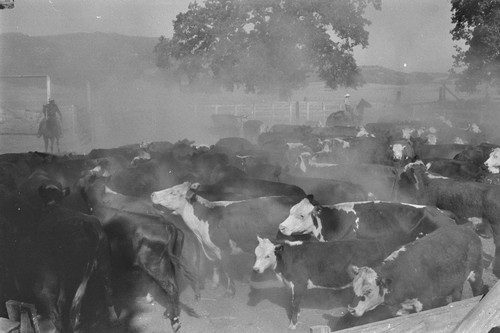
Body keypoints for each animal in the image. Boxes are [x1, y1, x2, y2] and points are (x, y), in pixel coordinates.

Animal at [149, 182, 300, 296]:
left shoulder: (224, 249)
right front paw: (215, 284)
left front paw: (230, 291)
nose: (153, 194)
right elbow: (216, 265)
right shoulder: (212, 248)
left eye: (173, 193)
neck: (206, 217)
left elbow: (227, 270)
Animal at [348, 224, 484, 316]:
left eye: (368, 290)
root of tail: (466, 228)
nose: (351, 309)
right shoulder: (399, 309)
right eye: (353, 287)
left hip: (476, 273)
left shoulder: (425, 302)